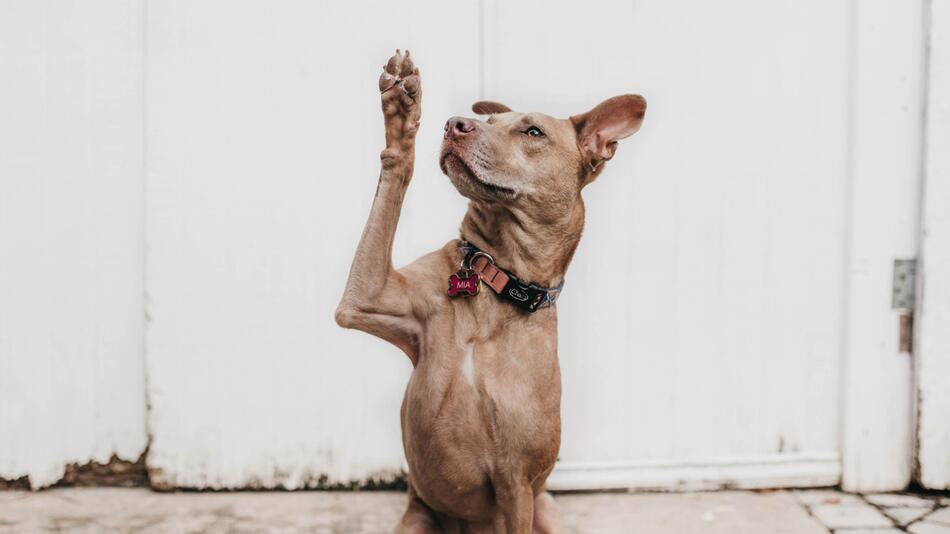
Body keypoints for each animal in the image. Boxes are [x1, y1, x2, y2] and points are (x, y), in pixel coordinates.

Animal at [336, 51, 648, 534]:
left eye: (533, 131)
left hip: (545, 509)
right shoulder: (364, 298)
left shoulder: (516, 485)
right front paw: (402, 114)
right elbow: (394, 177)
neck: (494, 280)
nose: (454, 124)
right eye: (492, 119)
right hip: (417, 517)